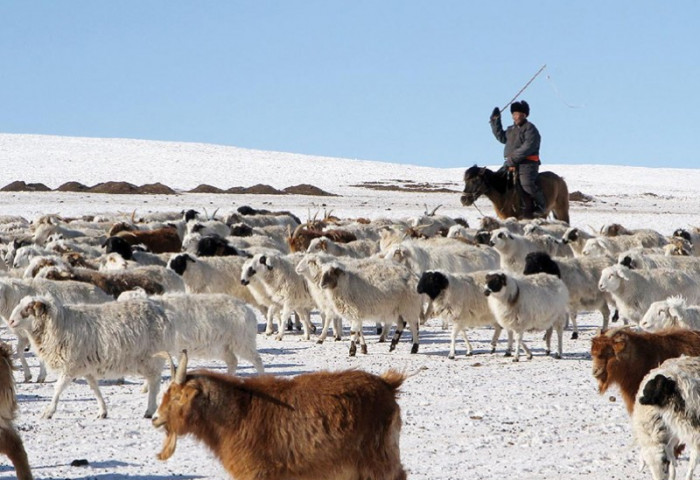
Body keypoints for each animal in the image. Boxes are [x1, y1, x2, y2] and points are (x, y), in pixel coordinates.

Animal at [8, 294, 170, 418]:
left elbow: (58, 388)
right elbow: (94, 389)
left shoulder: (70, 365)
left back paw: (149, 410)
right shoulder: (86, 366)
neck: (58, 324)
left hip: (150, 358)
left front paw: (49, 412)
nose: (11, 321)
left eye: (28, 308)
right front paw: (102, 411)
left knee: (154, 382)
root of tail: (159, 311)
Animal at [150, 348, 408, 480]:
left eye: (177, 396)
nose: (155, 418)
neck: (237, 412)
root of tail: (387, 385)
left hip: (378, 458)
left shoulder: (258, 473)